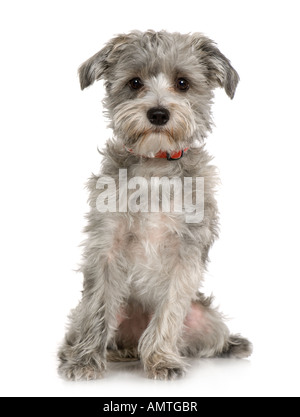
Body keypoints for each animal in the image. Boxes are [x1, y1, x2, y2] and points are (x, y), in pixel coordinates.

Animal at [57, 30, 252, 380]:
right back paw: (91, 351)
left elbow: (170, 310)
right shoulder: (105, 247)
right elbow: (97, 308)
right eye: (135, 82)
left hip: (208, 320)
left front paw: (161, 359)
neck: (155, 165)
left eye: (183, 83)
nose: (158, 114)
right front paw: (85, 361)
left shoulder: (185, 253)